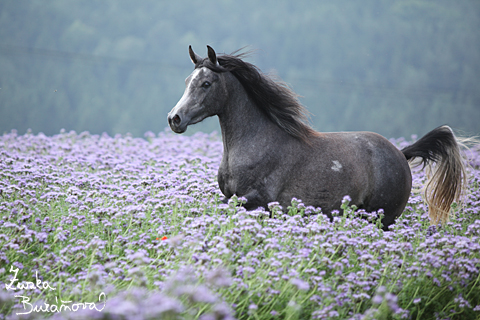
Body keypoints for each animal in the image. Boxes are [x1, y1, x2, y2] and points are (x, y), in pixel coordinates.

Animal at [168, 45, 464, 230]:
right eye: (187, 81)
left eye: (206, 83)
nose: (175, 119)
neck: (253, 144)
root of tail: (401, 154)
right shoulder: (235, 199)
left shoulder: (255, 201)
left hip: (384, 218)